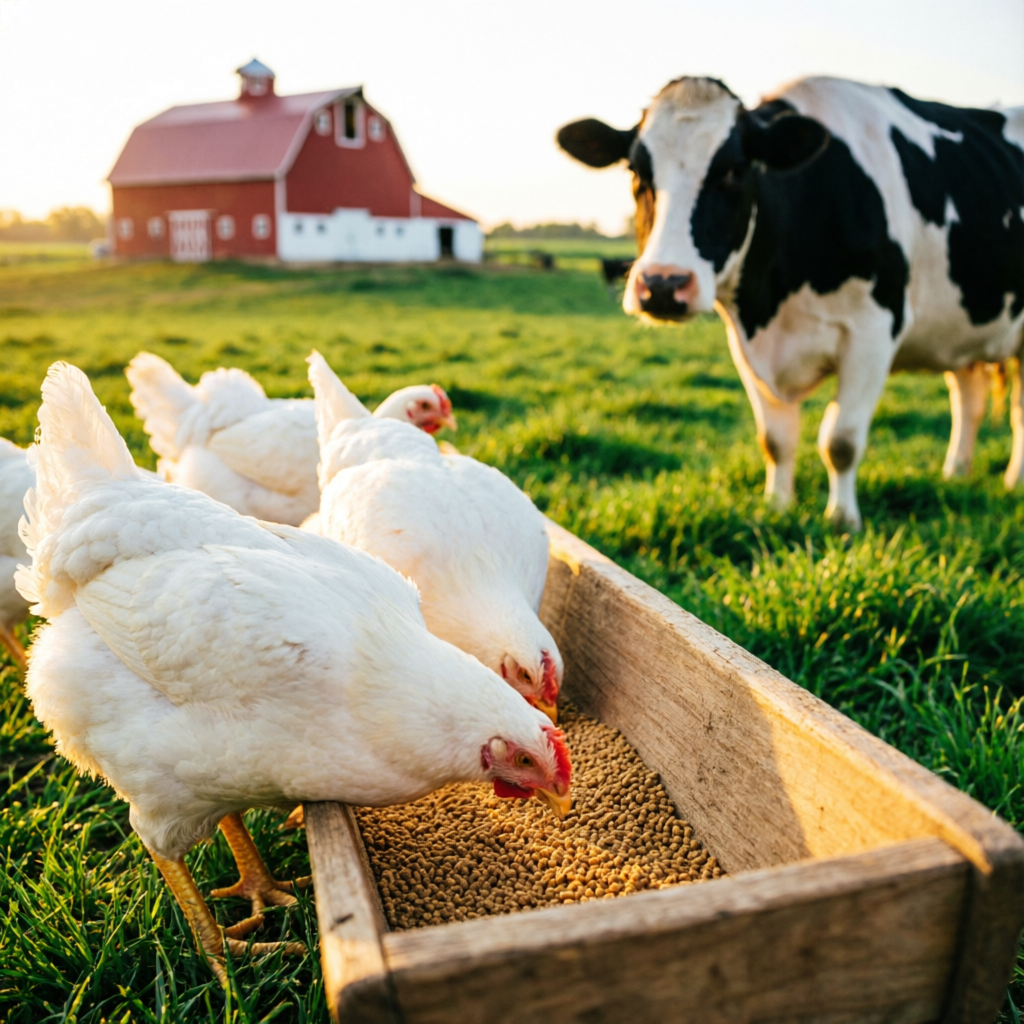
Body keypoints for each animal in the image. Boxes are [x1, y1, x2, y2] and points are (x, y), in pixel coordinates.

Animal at [557, 77, 1024, 529]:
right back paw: (956, 474)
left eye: (736, 170)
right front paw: (777, 507)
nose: (663, 285)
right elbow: (776, 440)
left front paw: (842, 520)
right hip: (962, 330)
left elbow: (841, 440)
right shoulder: (746, 342)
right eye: (635, 169)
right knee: (969, 400)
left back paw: (1012, 481)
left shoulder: (874, 332)